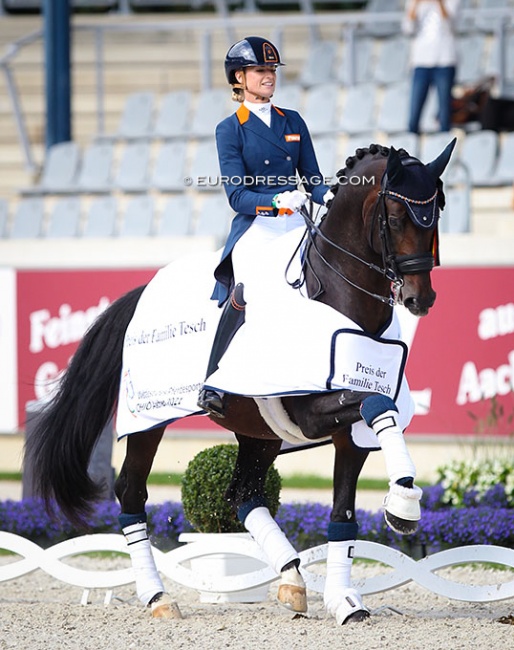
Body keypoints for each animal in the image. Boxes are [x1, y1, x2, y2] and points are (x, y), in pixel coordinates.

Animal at [26, 140, 454, 624]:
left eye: (436, 213)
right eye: (396, 217)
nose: (421, 299)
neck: (341, 301)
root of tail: (144, 292)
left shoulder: (349, 436)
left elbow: (345, 511)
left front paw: (347, 600)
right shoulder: (312, 413)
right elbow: (375, 405)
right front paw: (403, 504)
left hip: (259, 430)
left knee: (243, 495)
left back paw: (291, 579)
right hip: (148, 422)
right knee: (131, 495)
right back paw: (158, 597)